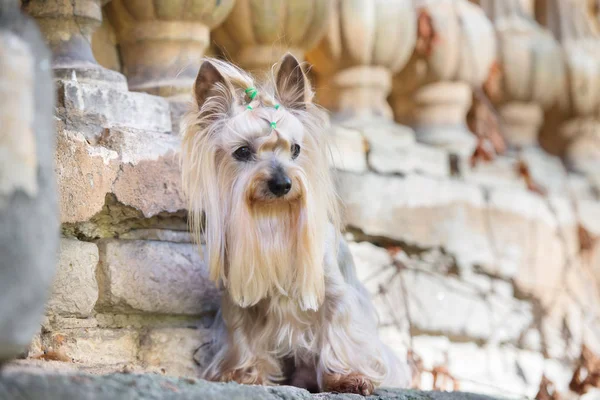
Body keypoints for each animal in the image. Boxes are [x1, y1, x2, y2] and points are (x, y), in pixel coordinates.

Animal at [180, 54, 410, 396]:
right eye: (242, 151)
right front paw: (243, 374)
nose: (282, 183)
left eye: (296, 150)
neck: (273, 215)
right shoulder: (240, 297)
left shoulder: (334, 293)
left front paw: (347, 378)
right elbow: (241, 333)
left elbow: (338, 329)